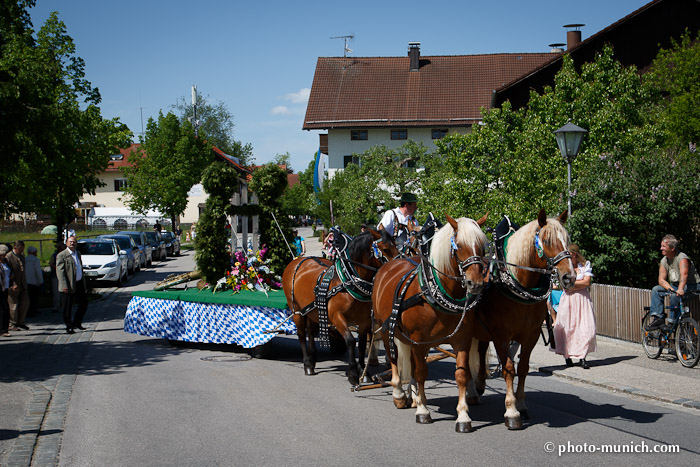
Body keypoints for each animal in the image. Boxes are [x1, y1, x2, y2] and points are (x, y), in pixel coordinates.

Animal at [280, 229, 400, 386]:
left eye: (396, 245)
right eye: (385, 249)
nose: (398, 265)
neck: (349, 282)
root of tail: (297, 261)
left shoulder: (364, 321)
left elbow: (362, 344)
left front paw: (364, 372)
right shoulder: (337, 317)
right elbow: (350, 341)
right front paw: (353, 374)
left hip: (313, 312)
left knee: (310, 333)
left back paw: (313, 360)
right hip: (297, 311)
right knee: (301, 334)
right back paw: (307, 364)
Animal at [372, 214, 486, 434]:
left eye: (483, 246)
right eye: (459, 245)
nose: (475, 283)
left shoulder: (462, 339)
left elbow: (461, 374)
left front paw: (463, 417)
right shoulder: (418, 340)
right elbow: (421, 372)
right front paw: (423, 411)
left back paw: (413, 395)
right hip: (385, 329)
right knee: (394, 360)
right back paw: (399, 395)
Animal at [464, 210, 580, 434]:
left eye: (567, 239)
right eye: (547, 240)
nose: (569, 277)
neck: (518, 283)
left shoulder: (531, 334)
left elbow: (523, 367)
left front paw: (521, 404)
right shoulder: (501, 335)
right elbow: (509, 368)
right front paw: (511, 412)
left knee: (480, 351)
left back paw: (478, 386)